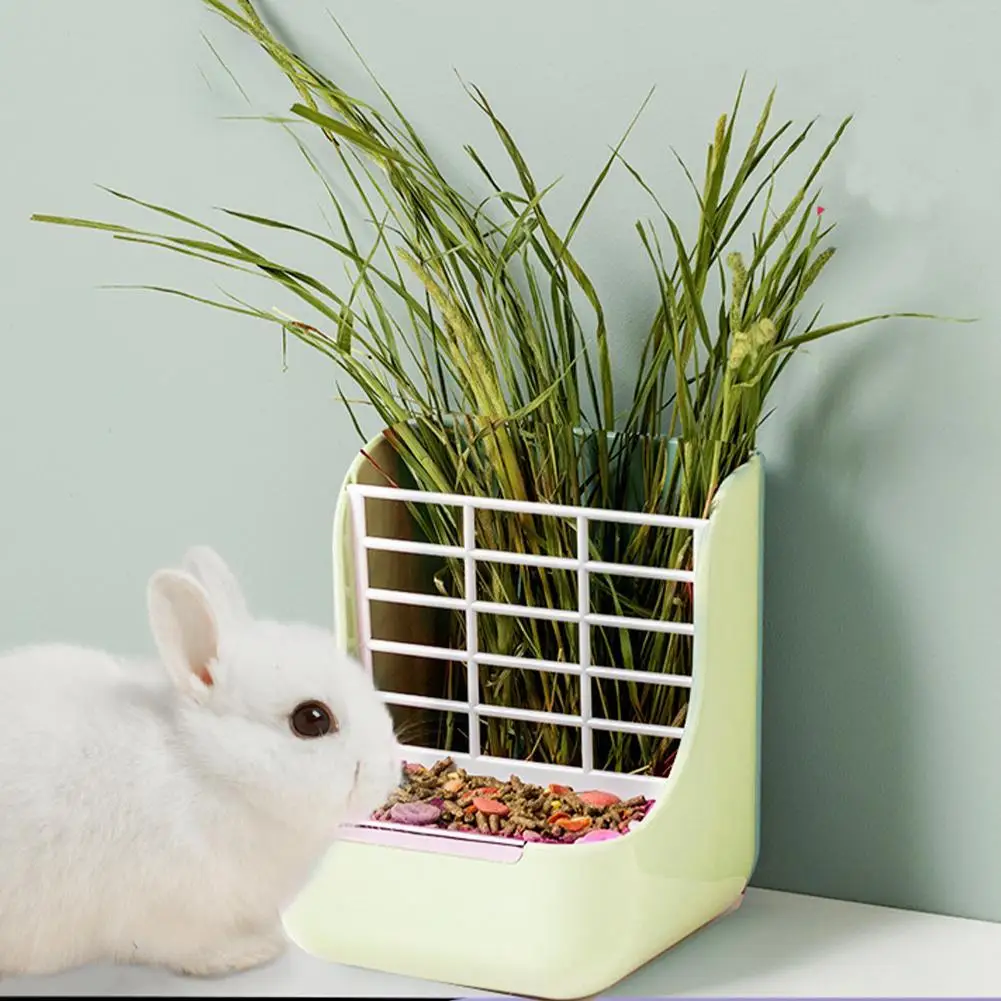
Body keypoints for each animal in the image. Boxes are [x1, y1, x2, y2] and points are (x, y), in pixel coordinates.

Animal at [0, 545, 402, 978]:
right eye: (312, 719)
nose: (389, 769)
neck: (212, 768)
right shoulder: (164, 910)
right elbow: (185, 947)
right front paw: (255, 950)